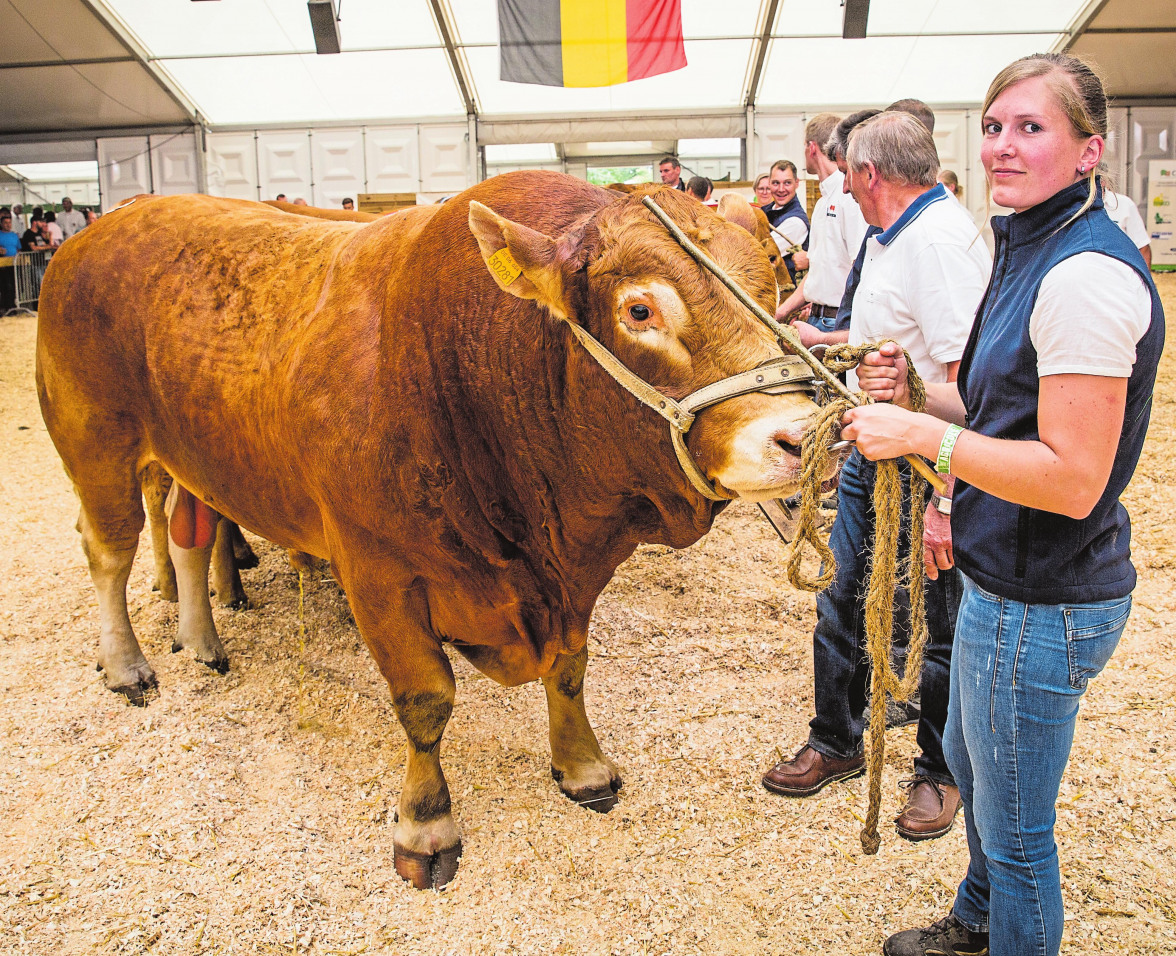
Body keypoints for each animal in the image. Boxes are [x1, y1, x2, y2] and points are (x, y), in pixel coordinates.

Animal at [34, 171, 827, 888]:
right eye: (639, 309)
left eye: (770, 290)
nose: (802, 434)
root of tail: (101, 229)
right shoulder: (377, 572)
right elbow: (426, 700)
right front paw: (425, 825)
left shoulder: (572, 576)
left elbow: (571, 668)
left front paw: (582, 766)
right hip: (95, 441)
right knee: (108, 552)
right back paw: (128, 664)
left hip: (193, 457)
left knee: (188, 539)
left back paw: (201, 639)